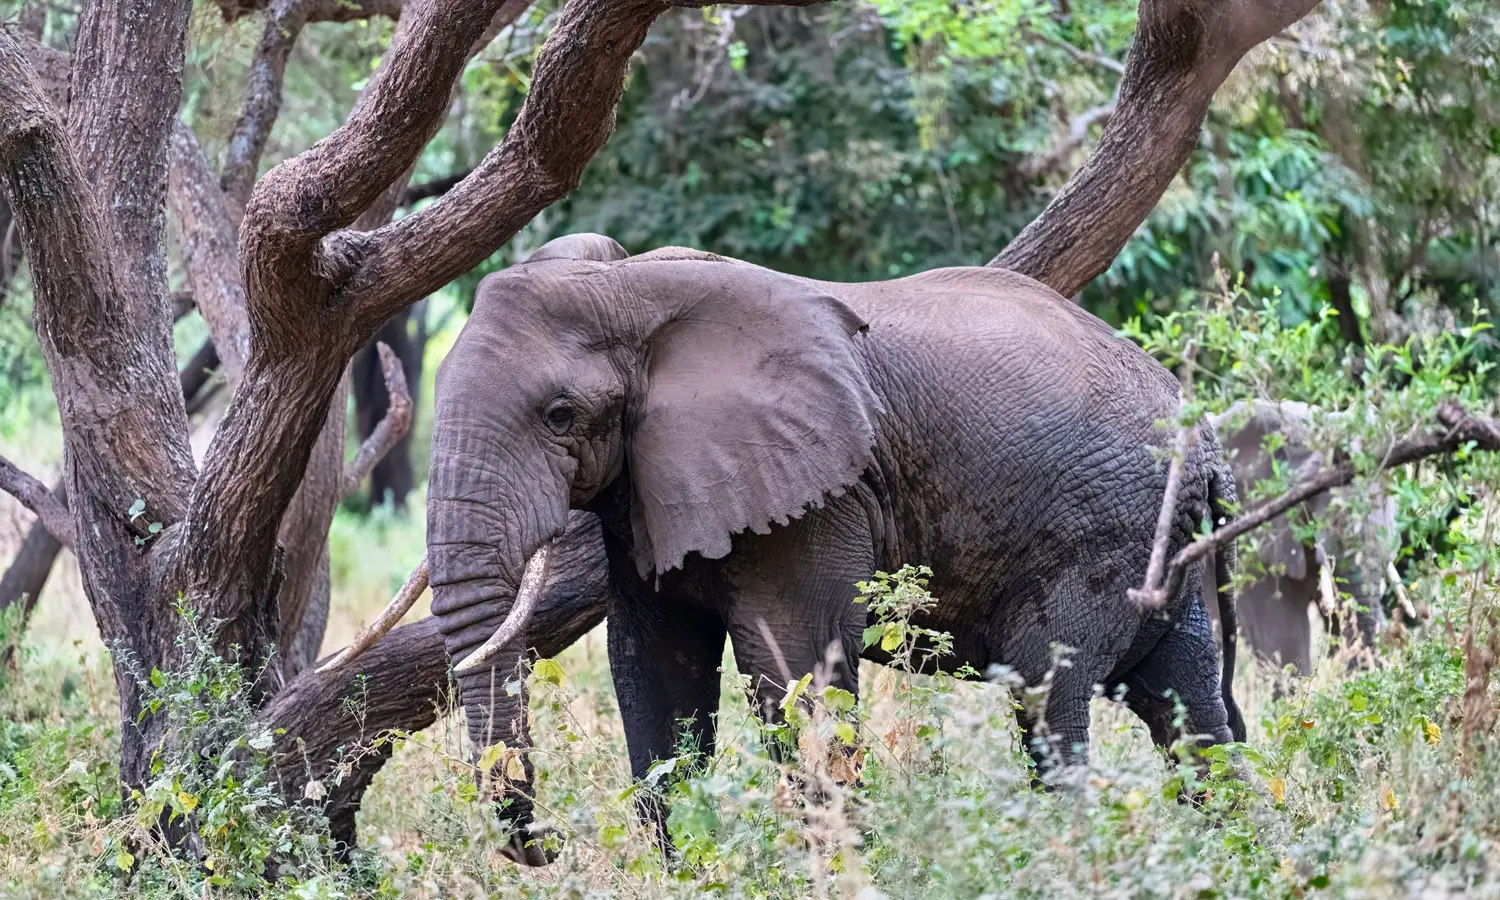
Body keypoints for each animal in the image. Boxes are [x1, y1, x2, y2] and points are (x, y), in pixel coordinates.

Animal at [425, 233, 1245, 864]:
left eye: (560, 415)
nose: (550, 844)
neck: (628, 289)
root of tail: (1204, 437)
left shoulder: (813, 496)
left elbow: (791, 668)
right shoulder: (645, 486)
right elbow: (657, 667)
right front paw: (684, 868)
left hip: (1101, 530)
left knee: (1051, 697)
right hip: (1160, 540)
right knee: (1185, 701)